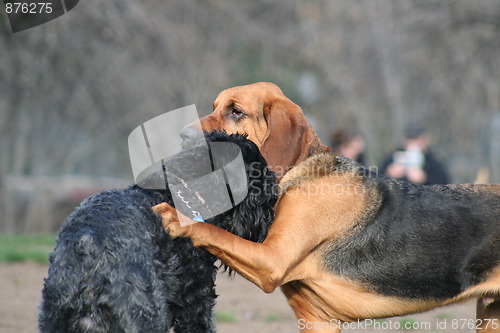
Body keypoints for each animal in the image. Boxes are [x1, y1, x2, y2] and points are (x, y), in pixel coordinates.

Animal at [154, 82, 498, 330]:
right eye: (214, 107)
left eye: (235, 111)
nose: (181, 136)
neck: (299, 171)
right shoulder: (316, 319)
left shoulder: (270, 259)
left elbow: (213, 232)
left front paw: (175, 216)